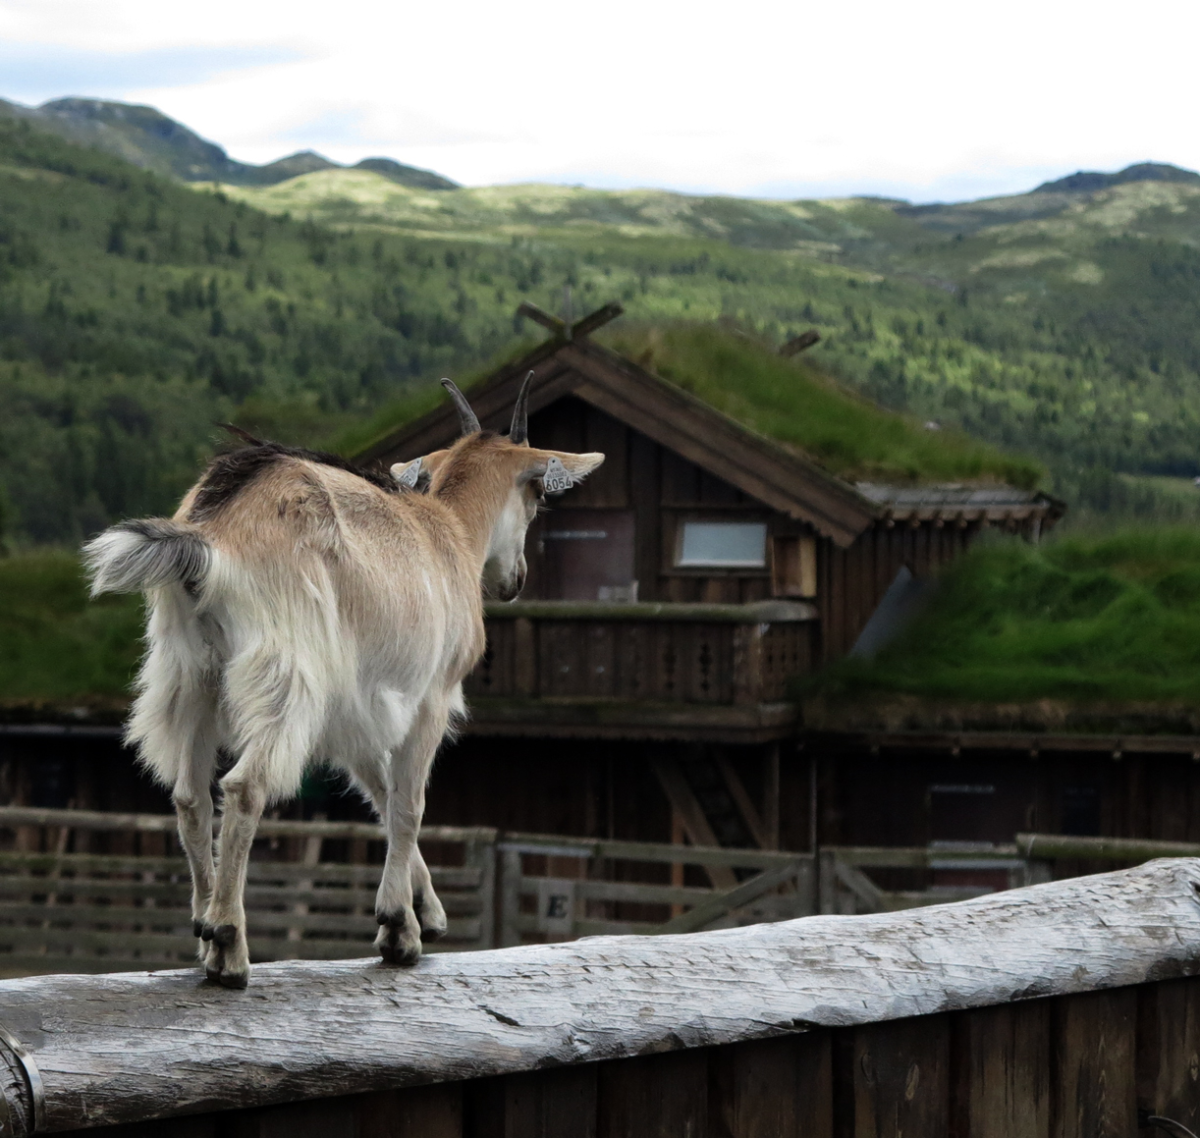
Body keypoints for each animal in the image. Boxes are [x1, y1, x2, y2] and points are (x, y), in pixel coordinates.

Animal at [84, 376, 603, 987]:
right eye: (538, 495)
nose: (514, 580)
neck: (448, 533)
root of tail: (211, 533)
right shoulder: (429, 698)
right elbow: (409, 803)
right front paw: (398, 928)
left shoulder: (354, 712)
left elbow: (381, 792)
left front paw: (424, 912)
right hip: (286, 667)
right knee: (244, 786)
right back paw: (229, 943)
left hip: (189, 672)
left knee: (190, 796)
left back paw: (204, 927)